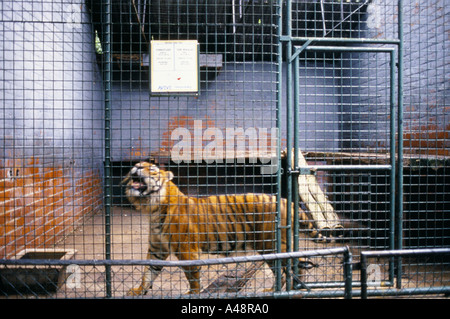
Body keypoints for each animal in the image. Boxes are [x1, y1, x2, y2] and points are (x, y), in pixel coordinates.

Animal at [122, 164, 320, 296]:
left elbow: (192, 277)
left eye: (152, 169)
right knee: (284, 271)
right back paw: (272, 290)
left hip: (273, 245)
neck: (153, 208)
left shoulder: (187, 250)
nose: (136, 166)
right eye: (139, 164)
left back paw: (295, 290)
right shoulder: (157, 249)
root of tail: (289, 202)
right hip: (270, 249)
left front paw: (192, 294)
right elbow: (148, 272)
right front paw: (138, 291)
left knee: (294, 267)